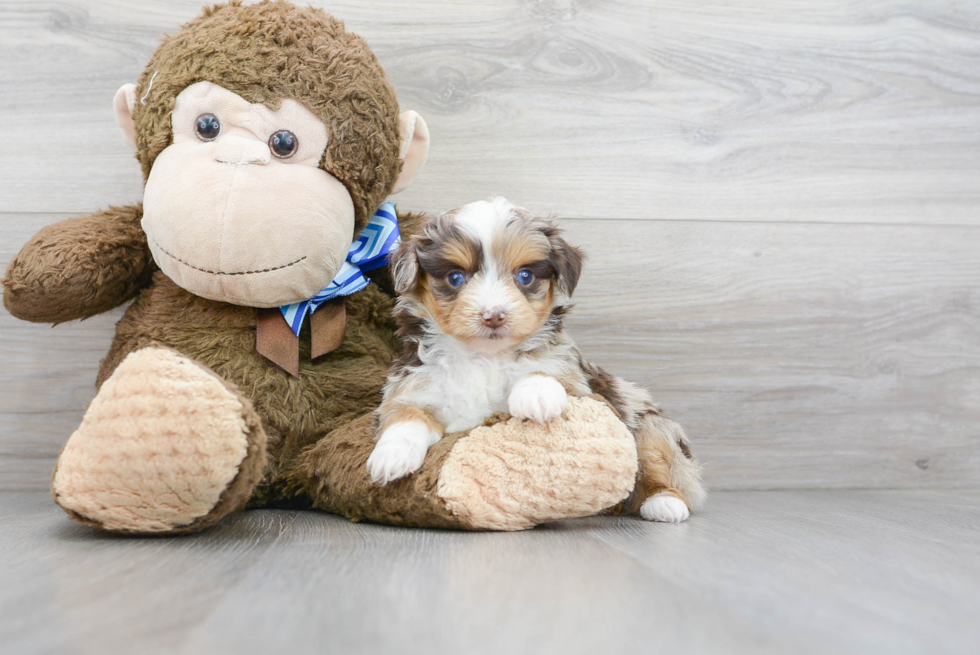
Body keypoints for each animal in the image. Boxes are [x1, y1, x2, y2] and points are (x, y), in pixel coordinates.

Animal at [368, 199, 704, 524]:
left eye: (525, 276)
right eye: (455, 278)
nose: (493, 315)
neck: (484, 357)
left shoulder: (582, 387)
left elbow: (546, 370)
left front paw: (536, 395)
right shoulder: (413, 386)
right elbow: (405, 416)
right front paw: (391, 456)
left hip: (651, 426)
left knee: (660, 465)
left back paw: (664, 502)